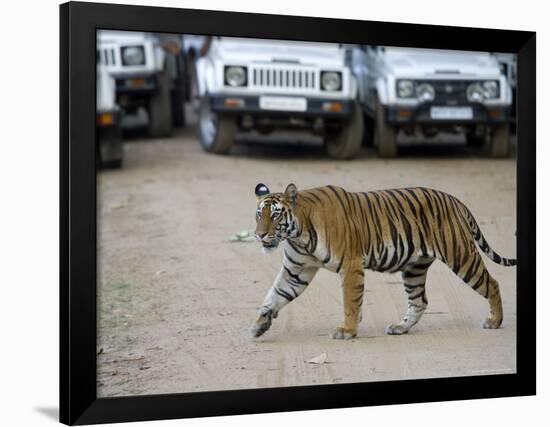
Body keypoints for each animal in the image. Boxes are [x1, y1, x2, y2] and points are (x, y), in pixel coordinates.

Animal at [250, 184, 516, 342]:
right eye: (259, 214)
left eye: (275, 215)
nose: (259, 235)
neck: (299, 235)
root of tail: (454, 199)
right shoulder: (296, 271)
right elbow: (274, 295)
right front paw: (259, 325)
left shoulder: (351, 266)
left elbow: (350, 302)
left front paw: (347, 330)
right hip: (414, 268)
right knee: (419, 301)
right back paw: (400, 327)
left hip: (460, 256)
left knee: (492, 283)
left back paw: (495, 321)